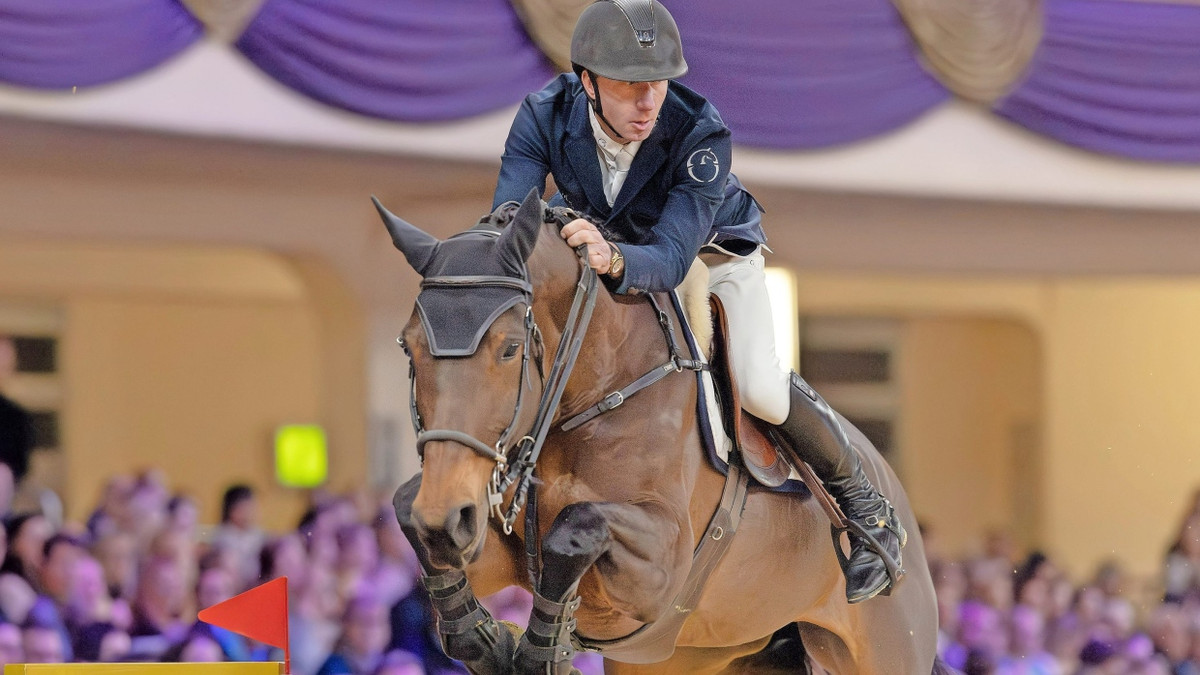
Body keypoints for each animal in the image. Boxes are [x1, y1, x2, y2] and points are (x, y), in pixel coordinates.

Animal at [374, 189, 945, 672]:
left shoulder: (663, 566)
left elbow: (576, 527)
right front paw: (488, 641)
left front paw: (537, 651)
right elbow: (406, 507)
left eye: (510, 348)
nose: (447, 520)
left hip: (885, 646)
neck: (589, 393)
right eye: (408, 346)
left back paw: (873, 544)